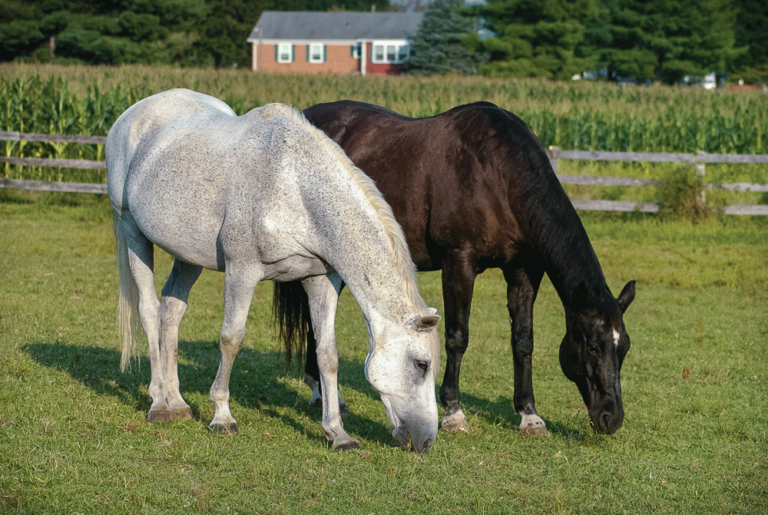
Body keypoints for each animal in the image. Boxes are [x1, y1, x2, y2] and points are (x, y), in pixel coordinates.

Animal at [105, 89, 441, 453]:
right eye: (421, 364)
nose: (426, 440)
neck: (295, 188)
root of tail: (131, 114)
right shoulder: (242, 271)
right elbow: (231, 339)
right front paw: (222, 416)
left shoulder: (320, 279)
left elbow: (327, 354)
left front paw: (337, 433)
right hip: (132, 231)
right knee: (149, 311)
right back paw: (158, 403)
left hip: (188, 254)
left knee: (171, 311)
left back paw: (177, 402)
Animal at [279, 100, 636, 436]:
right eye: (593, 346)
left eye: (625, 348)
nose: (612, 419)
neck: (497, 174)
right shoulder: (459, 263)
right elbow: (457, 337)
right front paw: (453, 413)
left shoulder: (523, 273)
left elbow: (523, 341)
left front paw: (529, 415)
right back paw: (322, 395)